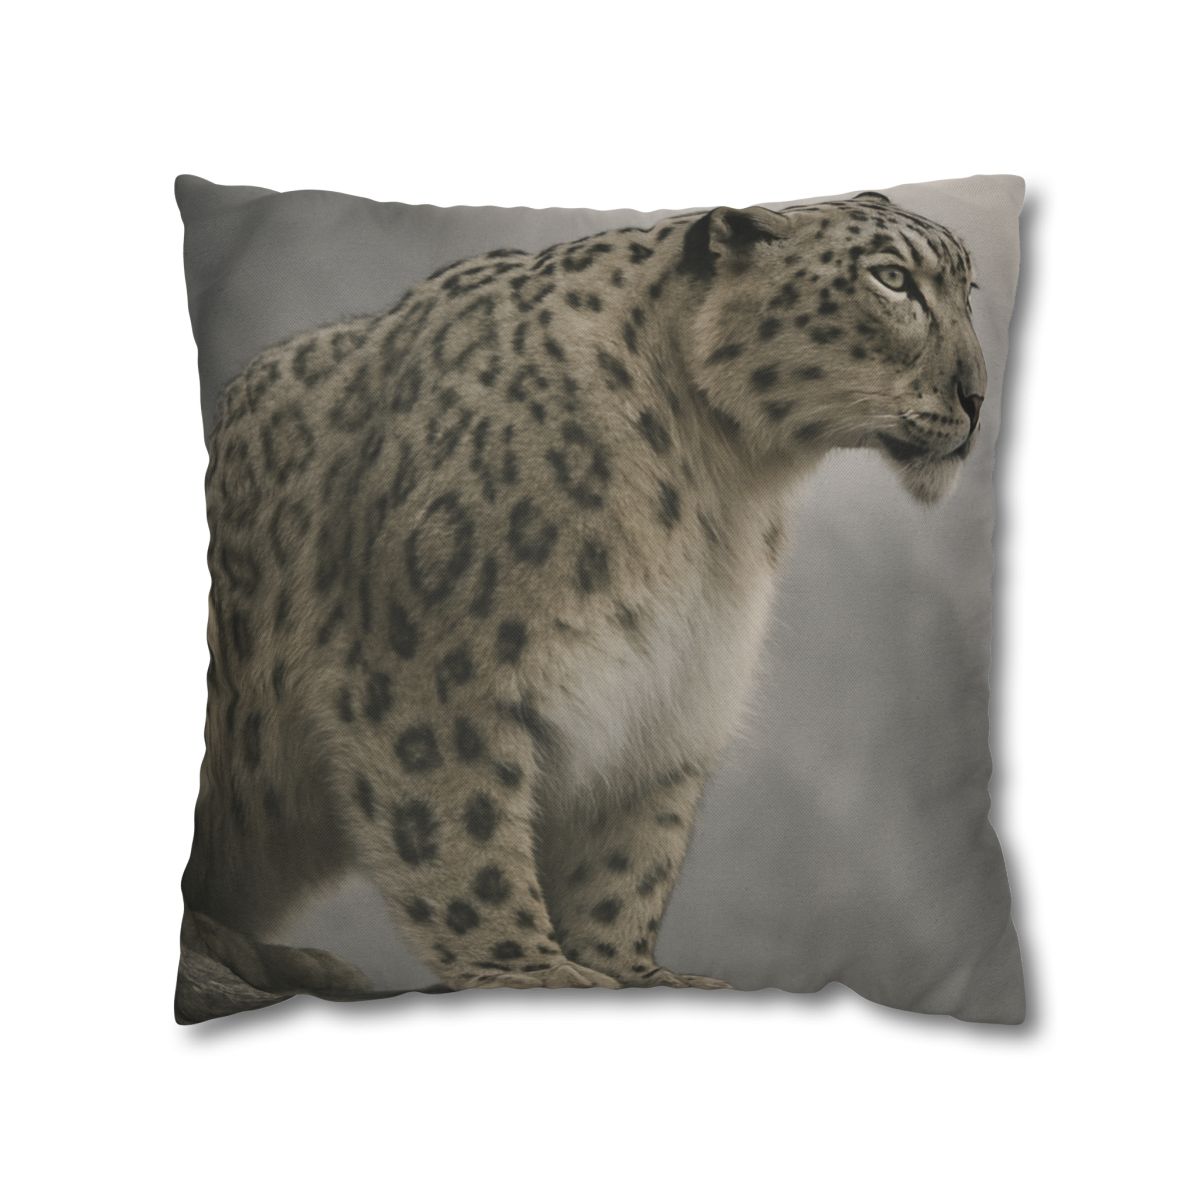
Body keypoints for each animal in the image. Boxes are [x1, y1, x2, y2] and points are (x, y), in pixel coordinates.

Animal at [177, 191, 986, 1020]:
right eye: (892, 279)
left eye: (969, 290)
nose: (977, 397)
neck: (720, 486)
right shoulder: (429, 674)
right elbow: (462, 830)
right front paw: (529, 967)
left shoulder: (670, 693)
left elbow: (631, 856)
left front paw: (629, 970)